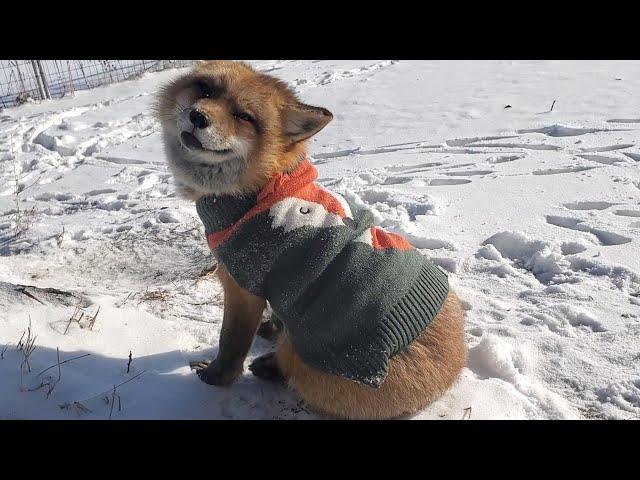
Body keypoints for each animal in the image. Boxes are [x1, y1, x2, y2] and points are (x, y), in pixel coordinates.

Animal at [154, 61, 464, 420]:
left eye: (244, 116)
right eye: (205, 89)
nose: (198, 116)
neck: (259, 189)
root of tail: (452, 377)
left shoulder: (242, 286)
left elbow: (230, 344)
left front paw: (214, 379)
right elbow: (272, 319)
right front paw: (271, 329)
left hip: (308, 358)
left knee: (293, 365)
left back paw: (270, 367)